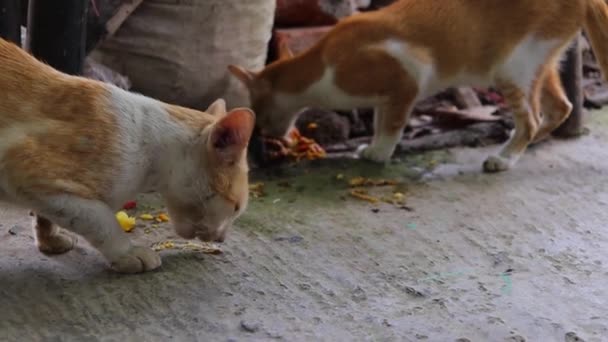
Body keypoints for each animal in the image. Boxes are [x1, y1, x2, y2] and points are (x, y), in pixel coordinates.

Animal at [0, 38, 253, 272]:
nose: (221, 238)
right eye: (236, 208)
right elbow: (99, 218)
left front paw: (50, 239)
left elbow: (45, 215)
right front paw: (127, 252)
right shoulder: (25, 168)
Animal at [230, 0, 608, 171]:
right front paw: (372, 147)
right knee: (561, 107)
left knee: (531, 118)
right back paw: (519, 148)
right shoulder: (385, 96)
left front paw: (381, 153)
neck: (322, 64)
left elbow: (394, 124)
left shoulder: (408, 75)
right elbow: (380, 120)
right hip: (540, 62)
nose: (266, 135)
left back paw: (504, 158)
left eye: (259, 113)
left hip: (511, 68)